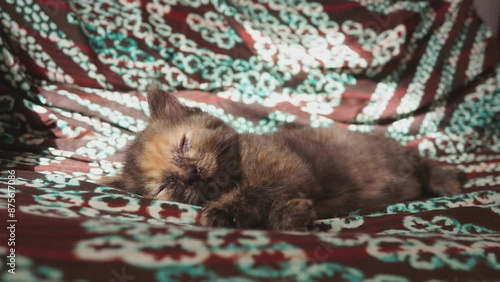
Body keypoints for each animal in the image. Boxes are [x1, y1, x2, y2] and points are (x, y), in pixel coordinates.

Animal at [100, 88, 464, 231]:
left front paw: (222, 211)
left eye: (184, 144)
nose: (191, 174)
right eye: (167, 186)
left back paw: (448, 181)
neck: (237, 173)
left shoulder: (289, 170)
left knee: (420, 160)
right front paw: (294, 215)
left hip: (394, 153)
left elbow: (258, 192)